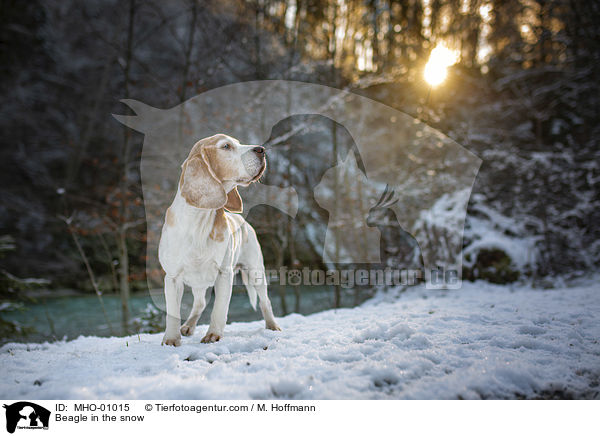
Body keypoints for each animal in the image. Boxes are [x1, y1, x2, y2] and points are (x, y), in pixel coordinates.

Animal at [159, 135, 282, 346]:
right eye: (226, 146)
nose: (262, 150)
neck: (199, 220)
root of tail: (243, 221)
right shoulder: (172, 277)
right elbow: (173, 312)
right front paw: (171, 339)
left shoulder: (224, 274)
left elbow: (219, 309)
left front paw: (213, 335)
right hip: (198, 283)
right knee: (200, 303)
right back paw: (188, 326)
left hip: (256, 271)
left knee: (265, 301)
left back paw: (272, 325)